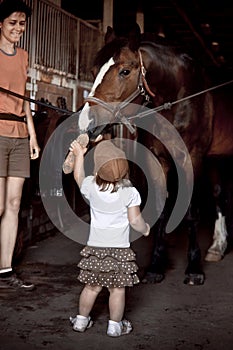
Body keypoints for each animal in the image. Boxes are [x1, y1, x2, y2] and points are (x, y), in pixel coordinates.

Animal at [77, 23, 232, 284]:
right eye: (93, 70)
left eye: (125, 71)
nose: (87, 122)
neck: (179, 98)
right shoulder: (159, 159)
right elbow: (161, 206)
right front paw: (156, 265)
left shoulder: (192, 158)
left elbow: (191, 211)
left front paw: (194, 268)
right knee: (219, 194)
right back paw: (217, 246)